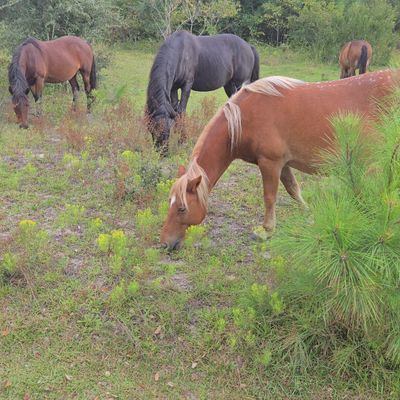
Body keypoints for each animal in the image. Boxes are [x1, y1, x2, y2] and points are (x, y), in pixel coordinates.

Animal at [160, 70, 398, 250]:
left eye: (181, 208)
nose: (164, 243)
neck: (244, 118)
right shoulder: (282, 165)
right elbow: (293, 190)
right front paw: (309, 216)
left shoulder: (270, 163)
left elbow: (270, 197)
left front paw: (266, 231)